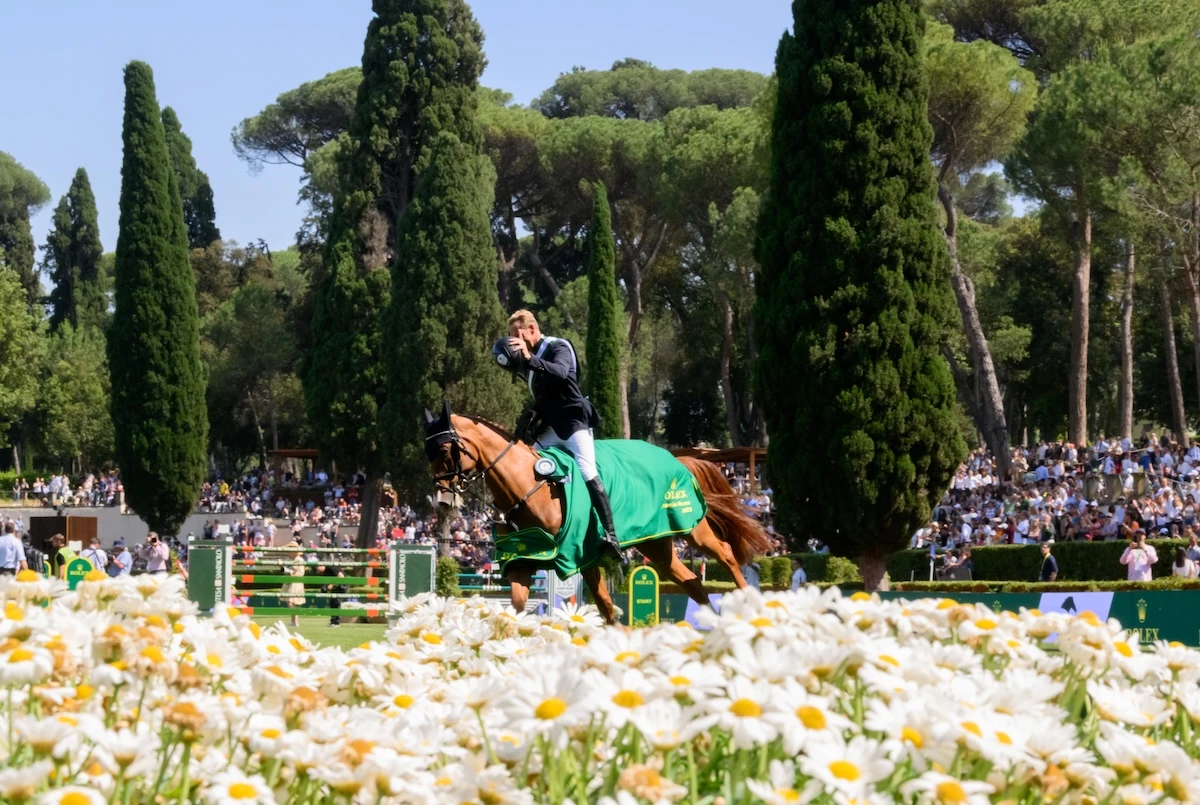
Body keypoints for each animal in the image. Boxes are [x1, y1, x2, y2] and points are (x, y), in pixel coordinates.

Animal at [423, 405, 770, 624]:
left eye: (445, 450)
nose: (441, 500)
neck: (529, 486)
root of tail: (677, 457)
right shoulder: (525, 560)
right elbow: (523, 606)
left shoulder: (581, 554)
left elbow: (604, 604)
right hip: (656, 543)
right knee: (691, 581)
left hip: (691, 529)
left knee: (725, 553)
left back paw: (750, 605)